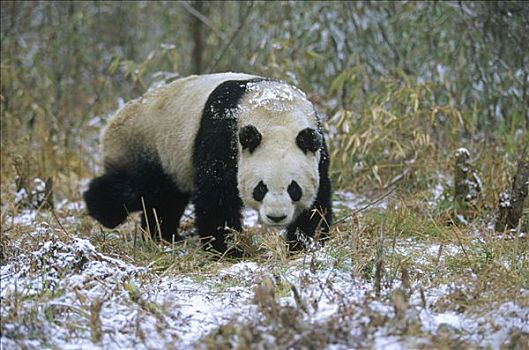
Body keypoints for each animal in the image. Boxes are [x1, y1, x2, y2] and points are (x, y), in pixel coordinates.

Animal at [82, 72, 330, 253]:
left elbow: (318, 201)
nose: (276, 217)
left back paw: (162, 235)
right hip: (146, 144)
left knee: (166, 200)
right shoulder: (223, 136)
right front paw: (228, 248)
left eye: (294, 189)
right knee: (137, 188)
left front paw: (306, 242)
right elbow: (216, 197)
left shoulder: (317, 147)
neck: (275, 111)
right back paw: (104, 211)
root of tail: (114, 120)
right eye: (260, 188)